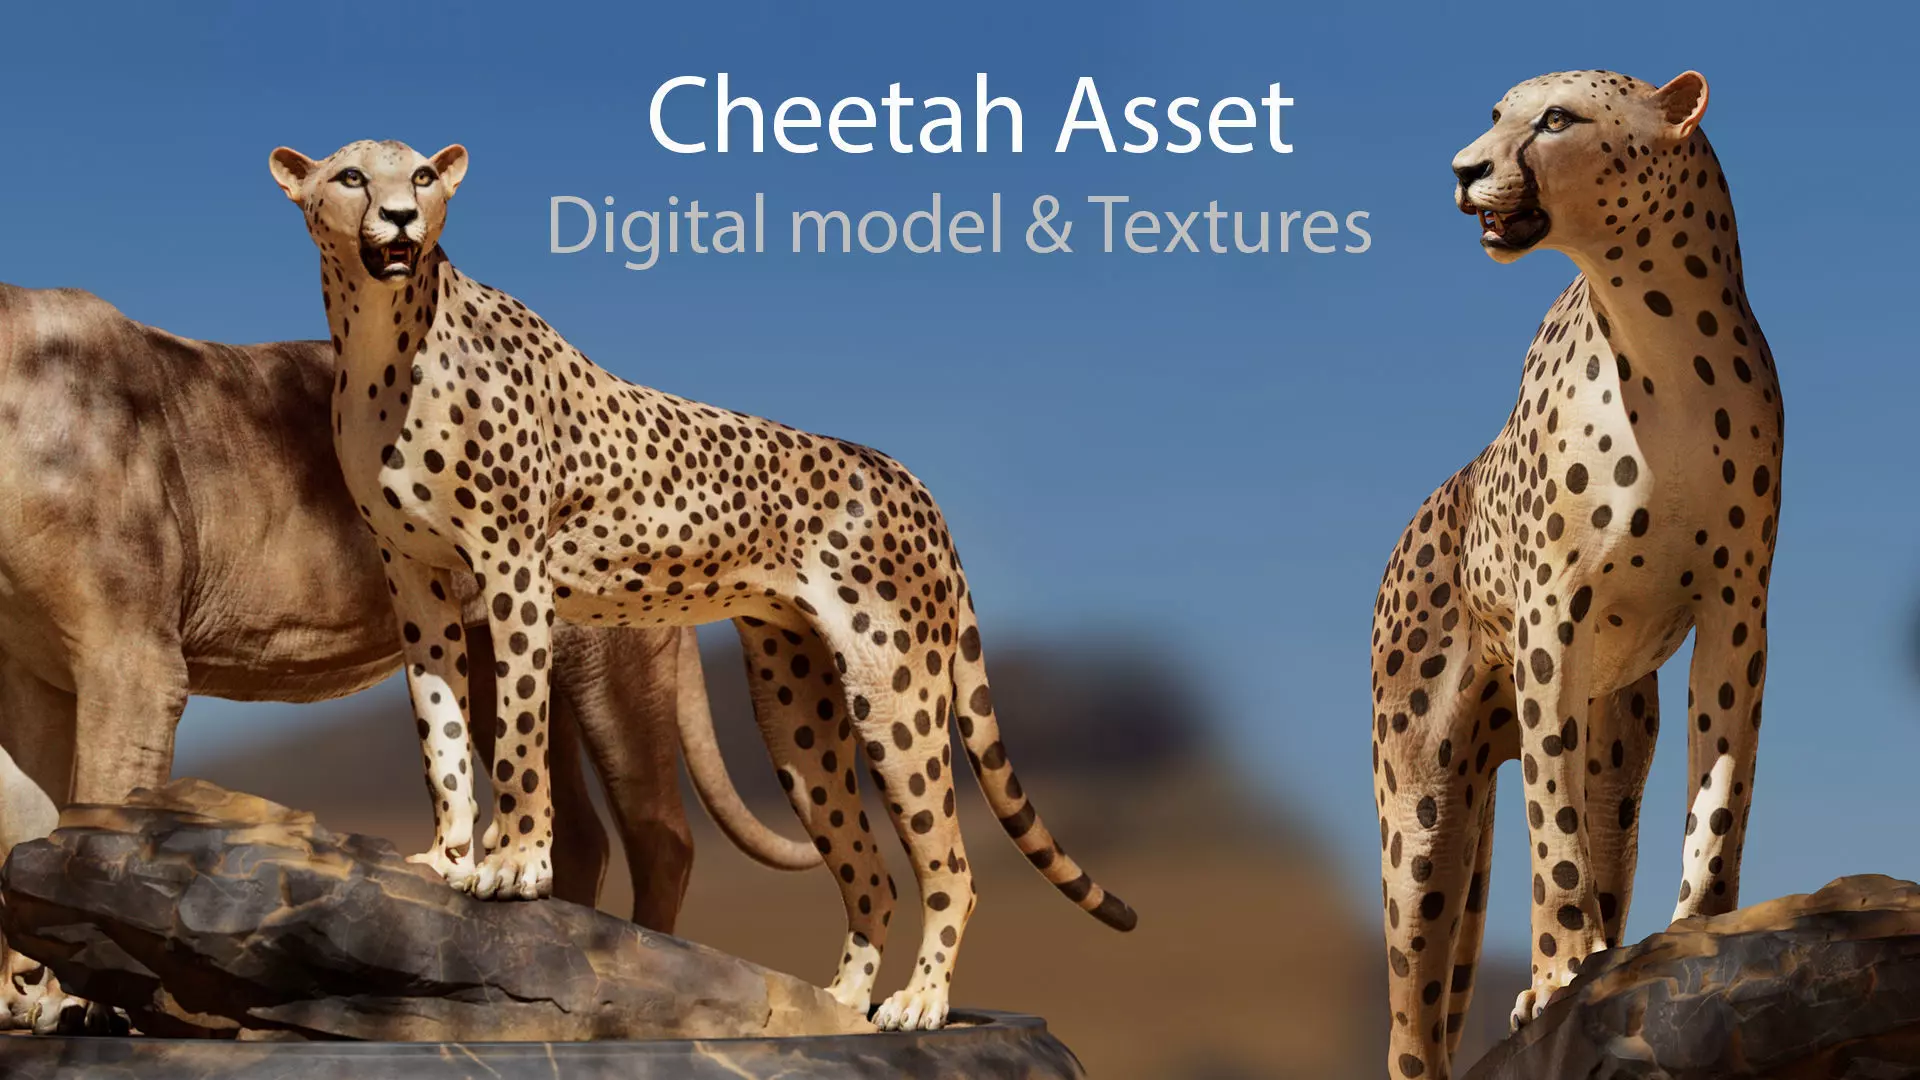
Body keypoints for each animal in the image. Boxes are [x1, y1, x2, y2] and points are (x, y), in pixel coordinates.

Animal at [267, 138, 1136, 1030]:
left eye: (422, 178)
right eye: (352, 178)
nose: (402, 216)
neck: (385, 338)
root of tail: (912, 481)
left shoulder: (514, 568)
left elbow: (517, 738)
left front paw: (513, 865)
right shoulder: (416, 580)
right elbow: (438, 731)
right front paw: (446, 858)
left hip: (896, 691)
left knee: (951, 868)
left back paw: (918, 1002)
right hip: (798, 712)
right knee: (871, 871)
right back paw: (836, 1004)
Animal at [1370, 70, 1782, 1079]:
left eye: (1556, 119)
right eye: (1494, 117)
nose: (1463, 169)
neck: (1658, 326)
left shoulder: (1737, 608)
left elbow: (1720, 793)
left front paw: (1701, 931)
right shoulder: (1552, 618)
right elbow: (1549, 832)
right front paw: (1560, 974)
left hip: (1618, 753)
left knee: (1602, 822)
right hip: (1423, 805)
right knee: (1410, 1015)